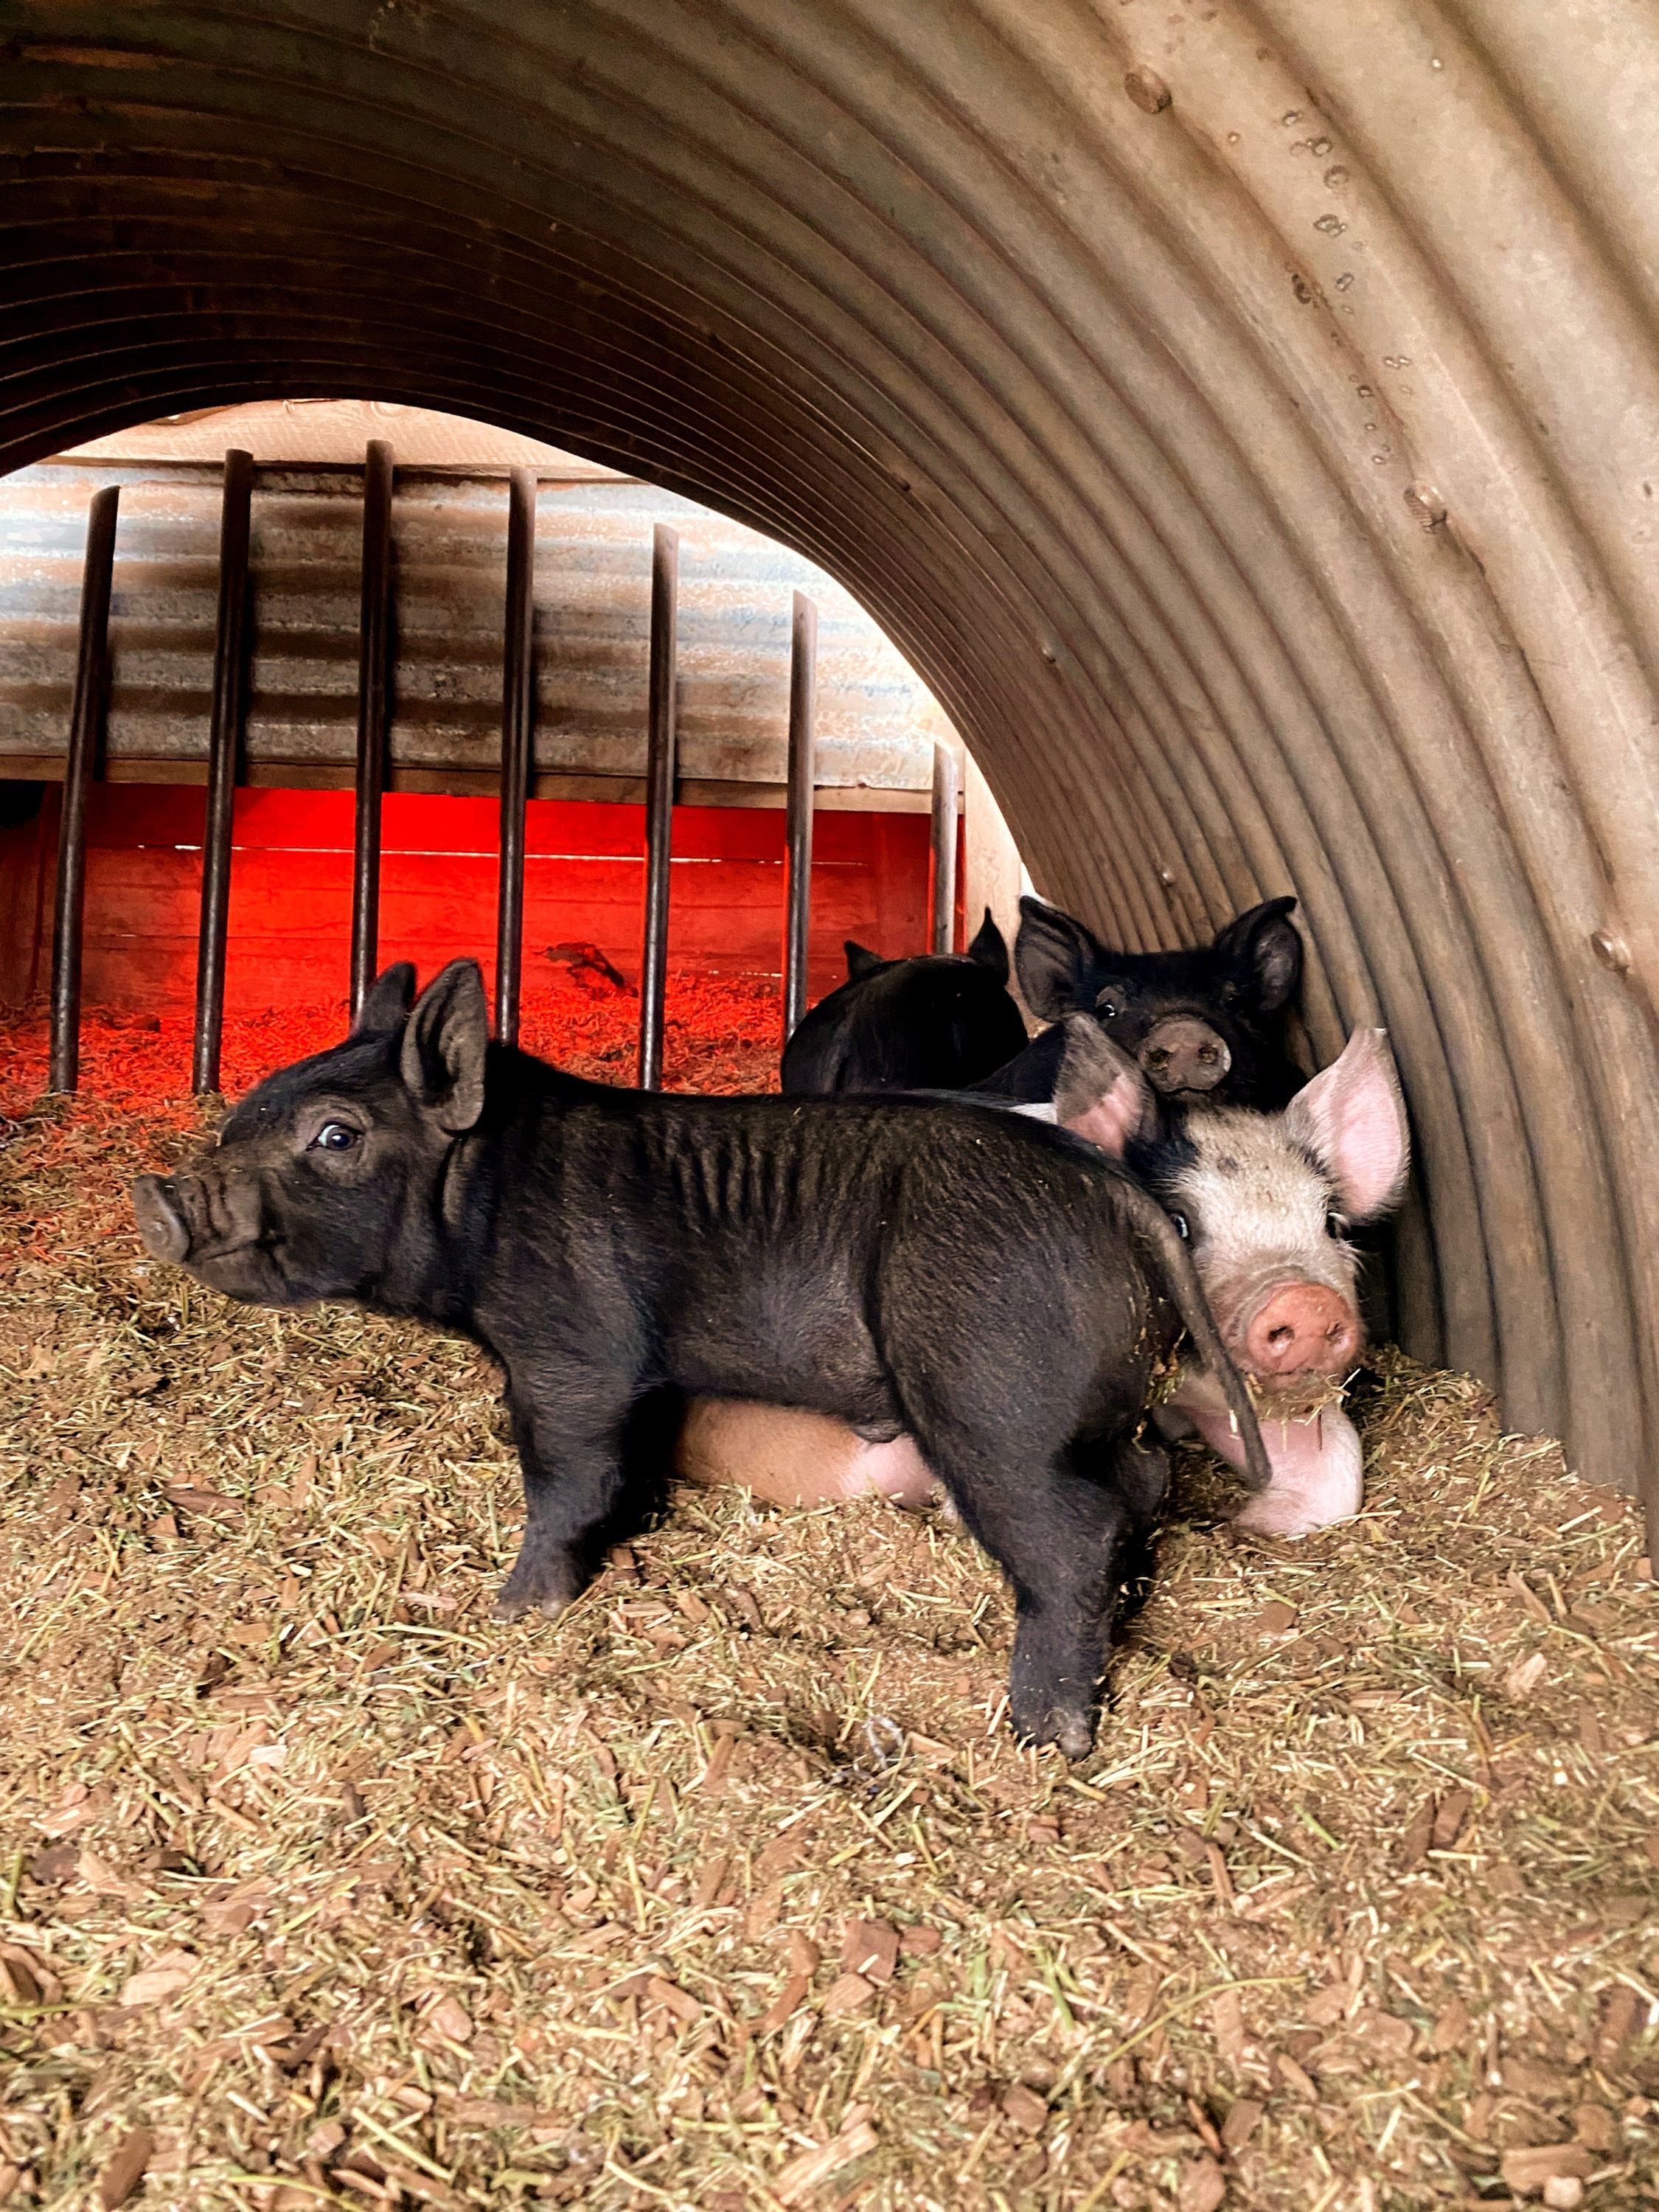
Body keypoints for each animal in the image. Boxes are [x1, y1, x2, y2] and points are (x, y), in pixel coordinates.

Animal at [132, 958, 1270, 1759]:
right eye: (248, 1110)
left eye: (335, 1137)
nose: (159, 1197)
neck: (484, 1195)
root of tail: (1120, 1197)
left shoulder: (573, 1349)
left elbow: (568, 1472)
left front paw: (516, 1611)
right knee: (1142, 1481)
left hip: (995, 1397)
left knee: (1070, 1534)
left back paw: (1041, 1737)